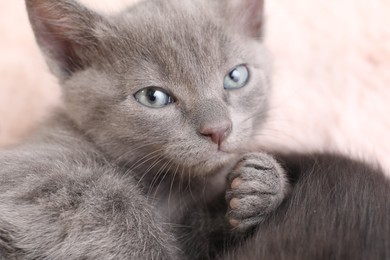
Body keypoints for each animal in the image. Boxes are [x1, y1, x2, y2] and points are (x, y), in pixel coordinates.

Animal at [0, 0, 286, 258]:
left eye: (236, 77)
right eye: (153, 97)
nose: (218, 129)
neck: (170, 186)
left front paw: (259, 185)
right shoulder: (30, 177)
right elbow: (112, 209)